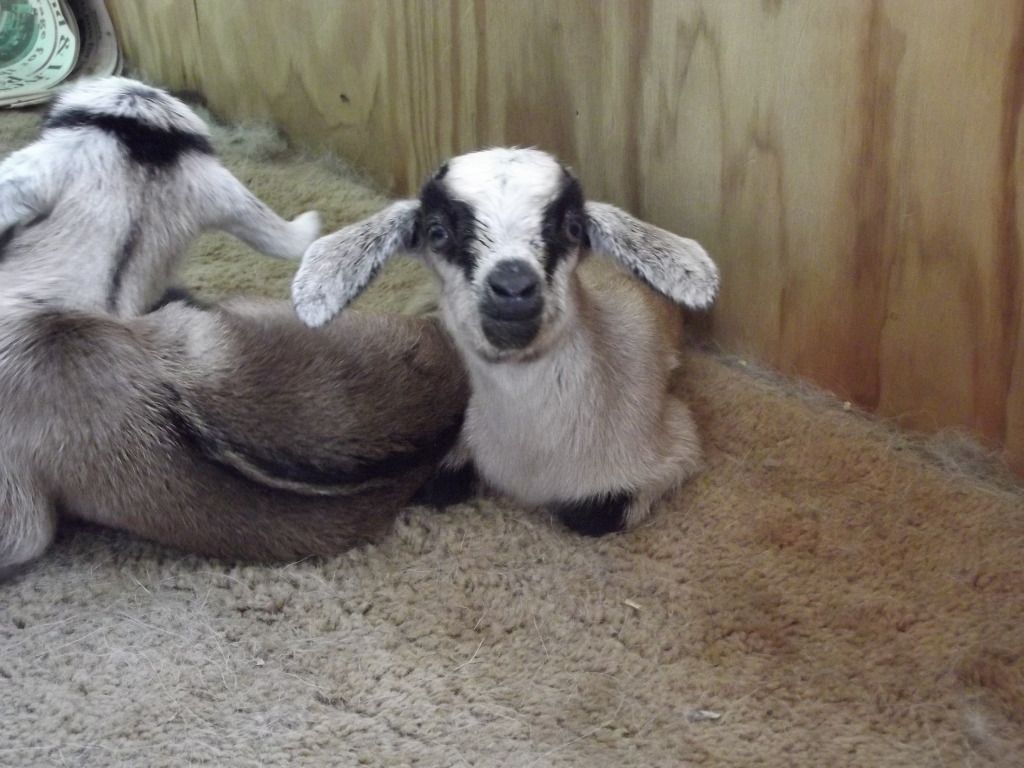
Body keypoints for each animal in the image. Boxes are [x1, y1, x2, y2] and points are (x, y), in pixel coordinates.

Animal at [292, 147, 719, 536]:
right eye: (436, 231)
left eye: (572, 228)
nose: (513, 286)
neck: (529, 463)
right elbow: (436, 485)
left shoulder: (677, 442)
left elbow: (591, 516)